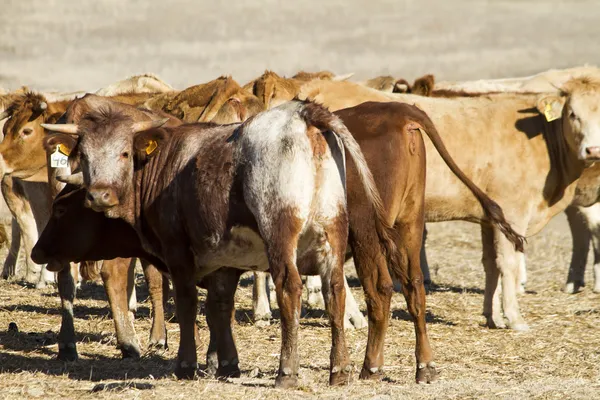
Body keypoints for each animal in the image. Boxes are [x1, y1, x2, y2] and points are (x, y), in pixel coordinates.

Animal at [296, 76, 600, 330]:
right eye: (573, 114)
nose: (593, 150)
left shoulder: (490, 220)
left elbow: (490, 264)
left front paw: (493, 316)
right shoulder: (513, 213)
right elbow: (509, 265)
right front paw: (515, 319)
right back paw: (352, 318)